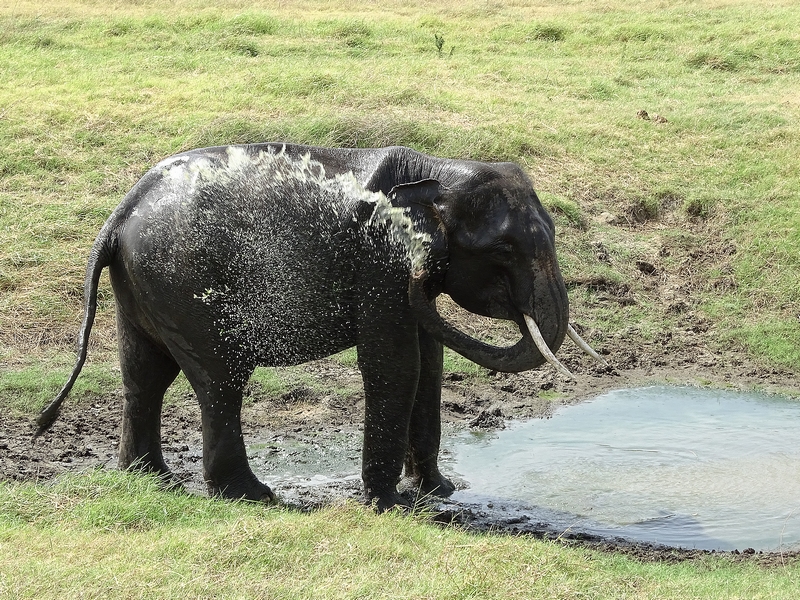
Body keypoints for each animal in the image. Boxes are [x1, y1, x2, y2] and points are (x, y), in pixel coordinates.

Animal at [37, 144, 605, 510]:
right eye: (505, 251)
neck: (439, 171)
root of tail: (119, 213)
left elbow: (429, 365)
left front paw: (439, 493)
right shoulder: (382, 264)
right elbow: (395, 365)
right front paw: (388, 505)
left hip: (143, 285)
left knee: (145, 374)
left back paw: (152, 480)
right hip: (183, 283)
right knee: (219, 381)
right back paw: (250, 496)